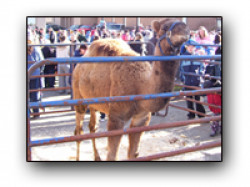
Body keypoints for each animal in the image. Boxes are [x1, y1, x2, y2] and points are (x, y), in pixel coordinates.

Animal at [72, 17, 189, 161]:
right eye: (165, 27)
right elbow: (112, 155)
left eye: (183, 24)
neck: (141, 87)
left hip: (94, 101)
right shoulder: (117, 118)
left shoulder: (142, 118)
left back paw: (97, 157)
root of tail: (80, 62)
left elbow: (134, 154)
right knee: (79, 130)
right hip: (78, 95)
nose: (185, 30)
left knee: (93, 127)